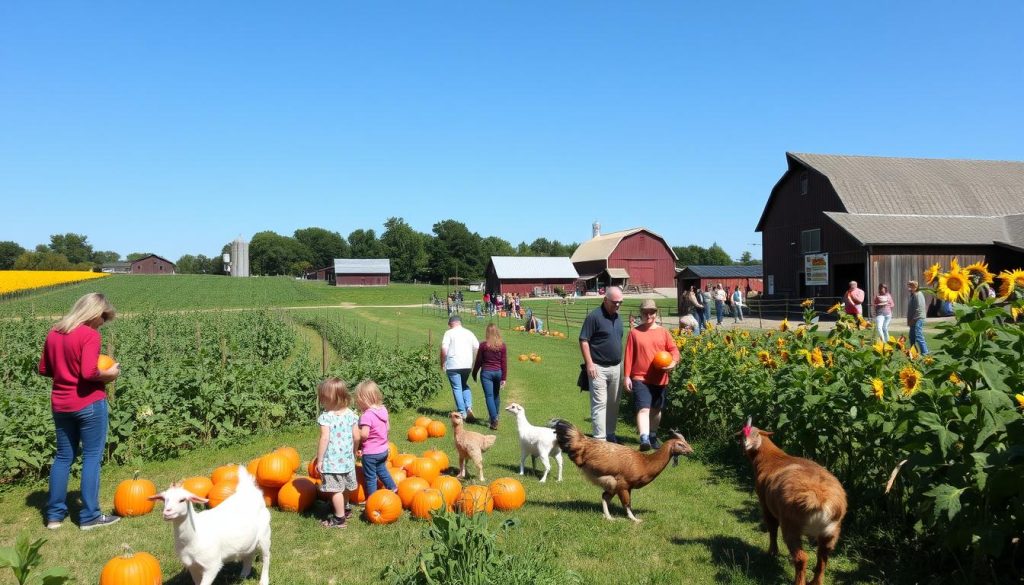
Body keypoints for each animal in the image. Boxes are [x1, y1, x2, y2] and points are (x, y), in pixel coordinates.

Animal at [741, 422, 843, 585]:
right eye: (743, 434)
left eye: (755, 434)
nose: (746, 444)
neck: (772, 459)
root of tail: (820, 499)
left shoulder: (766, 505)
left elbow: (772, 529)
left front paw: (772, 552)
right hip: (830, 533)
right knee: (823, 558)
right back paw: (816, 581)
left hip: (791, 526)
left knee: (802, 558)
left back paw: (799, 581)